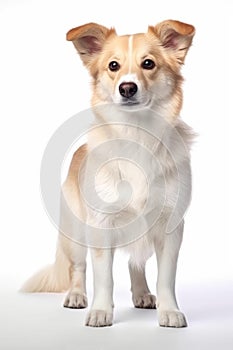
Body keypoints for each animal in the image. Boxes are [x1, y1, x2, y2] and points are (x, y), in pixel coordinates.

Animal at [22, 20, 196, 328]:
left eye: (148, 63)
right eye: (113, 65)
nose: (127, 87)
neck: (137, 133)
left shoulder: (170, 227)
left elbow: (166, 278)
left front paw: (169, 311)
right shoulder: (101, 226)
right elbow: (103, 277)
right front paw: (101, 311)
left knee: (135, 262)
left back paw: (142, 294)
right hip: (76, 232)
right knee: (79, 267)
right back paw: (77, 296)